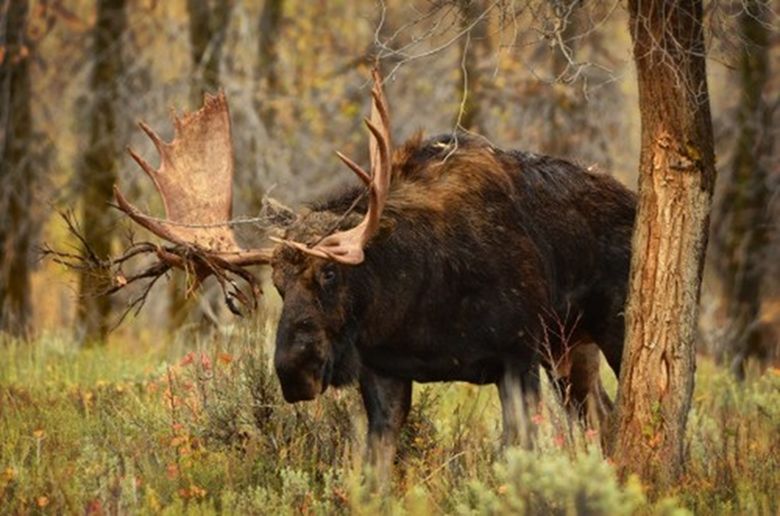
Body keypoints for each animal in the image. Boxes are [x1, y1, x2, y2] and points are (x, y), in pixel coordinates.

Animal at [100, 69, 636, 472]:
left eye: (330, 274)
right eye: (278, 284)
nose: (294, 370)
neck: (419, 304)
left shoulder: (517, 353)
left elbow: (516, 455)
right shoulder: (383, 371)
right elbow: (374, 468)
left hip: (608, 330)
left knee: (616, 413)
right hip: (571, 349)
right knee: (605, 416)